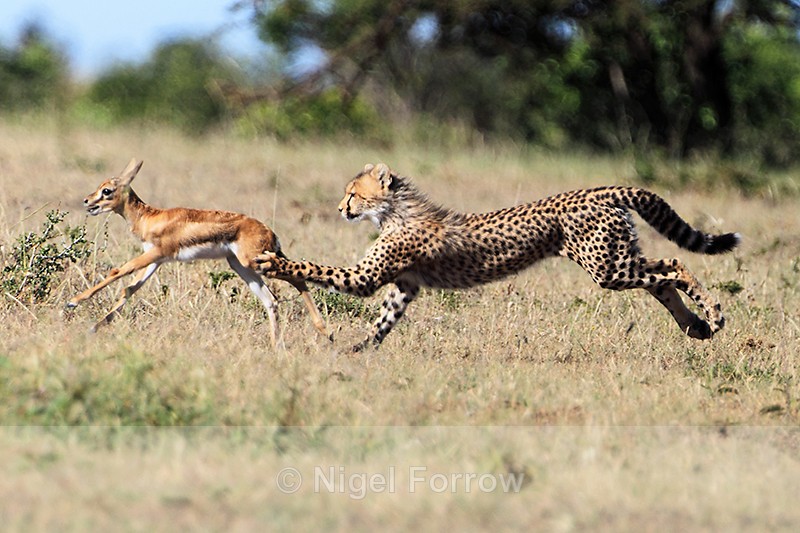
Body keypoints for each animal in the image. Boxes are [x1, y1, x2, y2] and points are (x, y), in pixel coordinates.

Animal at [66, 158, 330, 348]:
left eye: (107, 190)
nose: (87, 201)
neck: (149, 218)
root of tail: (271, 232)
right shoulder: (156, 259)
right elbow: (129, 289)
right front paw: (95, 327)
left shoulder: (156, 254)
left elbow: (119, 271)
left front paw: (73, 302)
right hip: (240, 265)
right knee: (271, 299)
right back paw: (279, 345)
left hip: (253, 262)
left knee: (296, 279)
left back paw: (325, 331)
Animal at [255, 163, 740, 351]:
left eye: (353, 193)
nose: (341, 209)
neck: (394, 211)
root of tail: (600, 189)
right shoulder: (405, 286)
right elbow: (383, 321)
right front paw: (357, 351)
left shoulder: (367, 277)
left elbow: (315, 267)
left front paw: (273, 263)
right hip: (618, 258)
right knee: (661, 280)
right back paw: (695, 326)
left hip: (608, 266)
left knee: (674, 267)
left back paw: (713, 314)